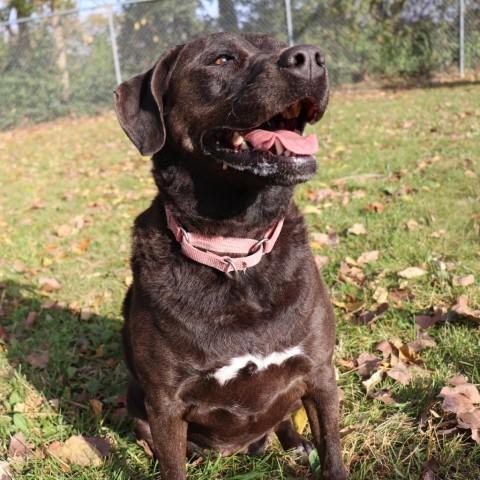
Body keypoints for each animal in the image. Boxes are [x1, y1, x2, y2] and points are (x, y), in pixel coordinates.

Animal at [115, 31, 348, 478]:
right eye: (221, 59)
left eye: (279, 43)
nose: (311, 58)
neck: (235, 249)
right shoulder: (165, 405)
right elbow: (172, 466)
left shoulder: (319, 374)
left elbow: (333, 453)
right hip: (136, 400)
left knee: (284, 420)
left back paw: (295, 444)